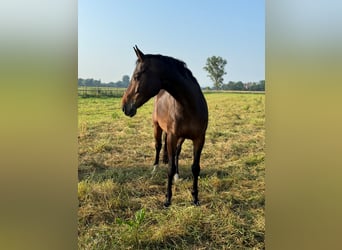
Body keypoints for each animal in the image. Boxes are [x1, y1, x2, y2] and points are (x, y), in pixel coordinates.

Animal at [123, 46, 208, 206]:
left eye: (137, 75)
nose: (124, 106)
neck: (190, 106)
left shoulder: (199, 138)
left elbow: (195, 168)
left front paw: (195, 198)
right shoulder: (172, 136)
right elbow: (169, 167)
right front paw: (167, 200)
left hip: (180, 137)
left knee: (176, 153)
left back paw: (177, 176)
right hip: (157, 128)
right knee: (158, 146)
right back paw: (155, 169)